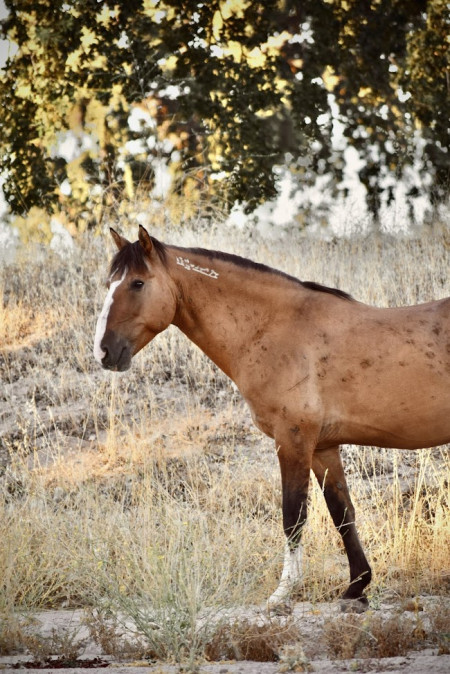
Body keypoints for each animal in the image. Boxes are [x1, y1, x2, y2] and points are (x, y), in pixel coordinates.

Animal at [93, 223, 448, 612]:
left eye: (137, 283)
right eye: (110, 283)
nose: (104, 351)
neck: (276, 329)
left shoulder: (293, 440)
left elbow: (293, 516)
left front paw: (282, 594)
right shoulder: (323, 448)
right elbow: (342, 514)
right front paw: (356, 589)